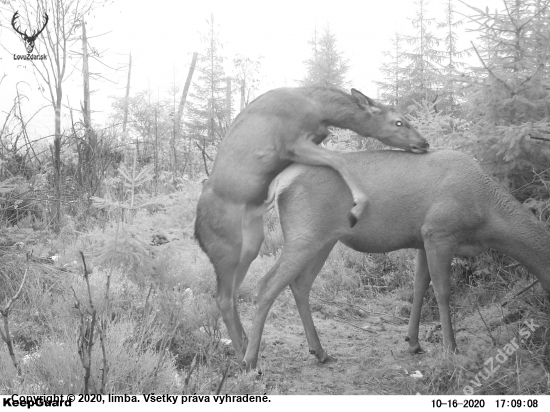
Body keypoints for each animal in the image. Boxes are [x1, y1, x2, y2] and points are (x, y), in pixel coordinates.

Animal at [196, 87, 434, 364]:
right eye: (398, 121)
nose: (424, 142)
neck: (319, 107)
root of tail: (197, 232)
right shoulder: (291, 143)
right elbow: (339, 159)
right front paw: (357, 207)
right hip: (226, 248)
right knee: (223, 297)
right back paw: (245, 357)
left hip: (251, 245)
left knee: (233, 293)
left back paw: (246, 345)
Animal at [240, 150, 550, 368]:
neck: (487, 217)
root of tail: (279, 184)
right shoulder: (439, 231)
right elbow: (443, 291)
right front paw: (451, 348)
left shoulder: (423, 238)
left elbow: (420, 285)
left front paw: (413, 342)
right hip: (304, 233)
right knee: (266, 285)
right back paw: (250, 360)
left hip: (324, 240)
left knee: (300, 284)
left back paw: (320, 351)